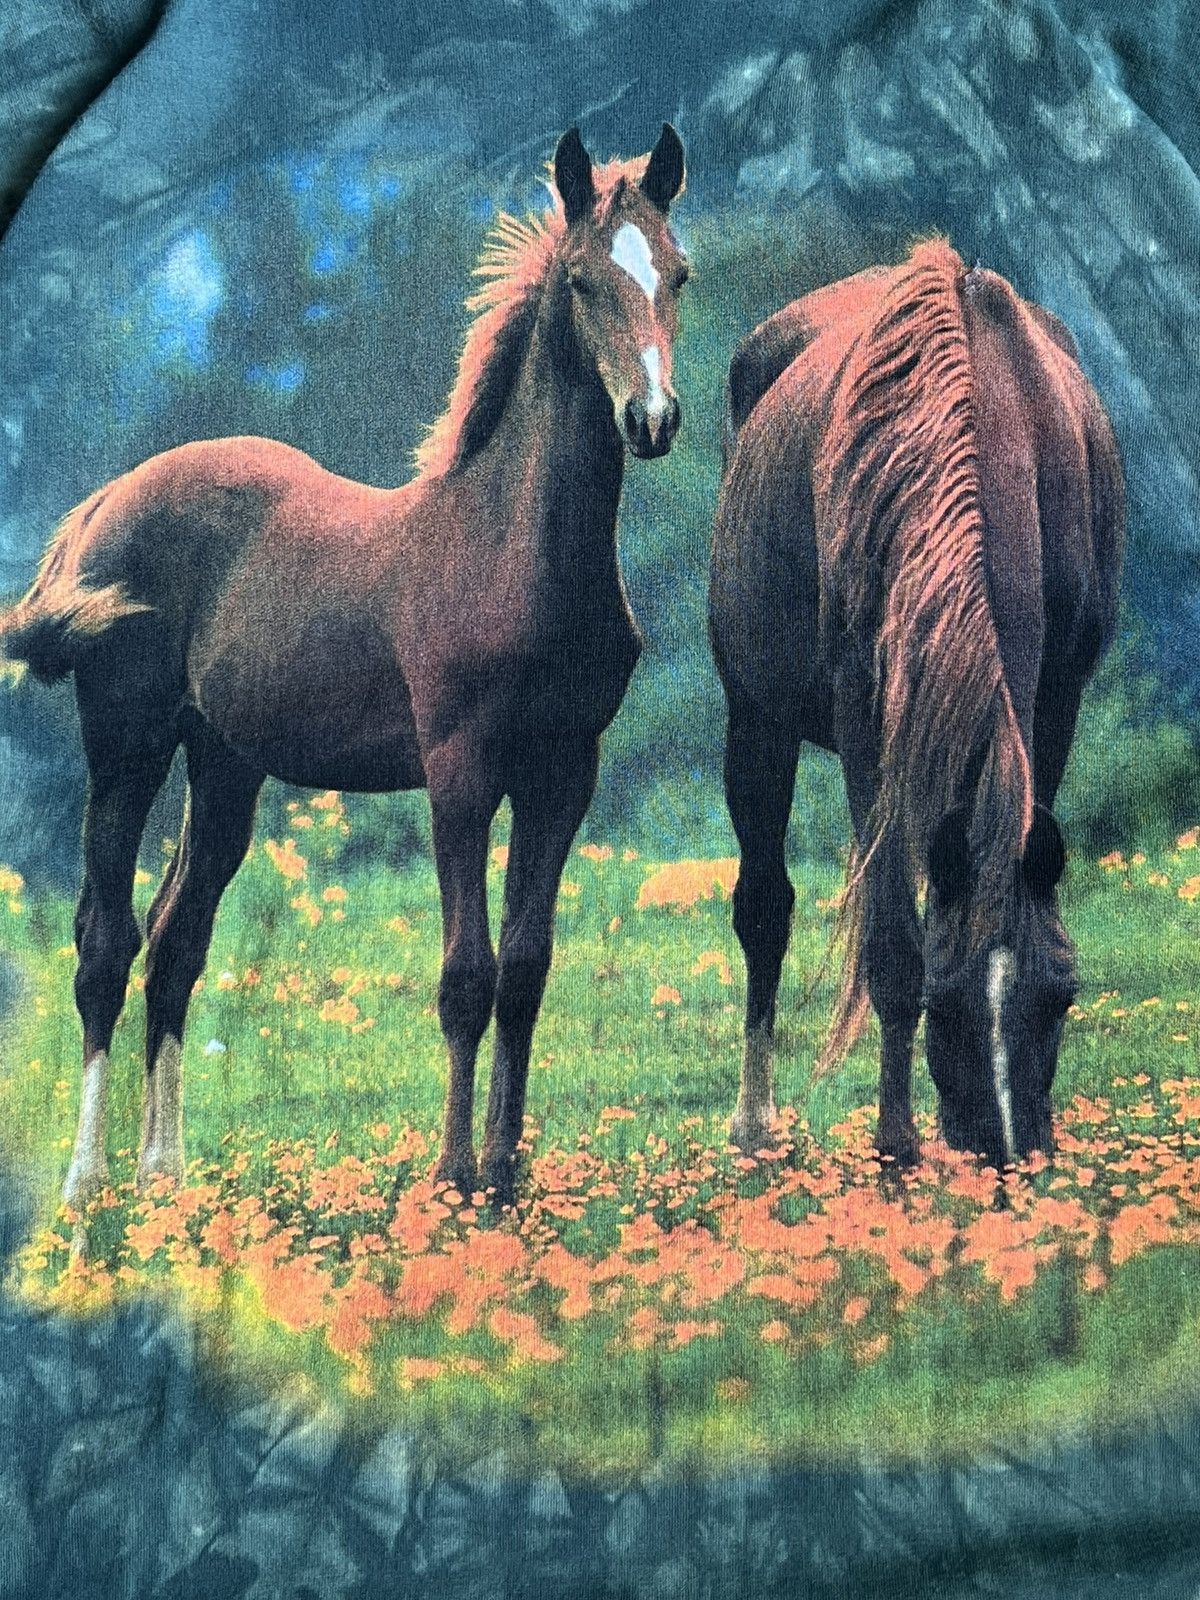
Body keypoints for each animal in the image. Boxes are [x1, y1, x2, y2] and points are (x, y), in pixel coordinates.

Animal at [1, 124, 688, 1208]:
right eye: (582, 281)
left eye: (678, 272)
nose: (652, 420)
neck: (511, 548)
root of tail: (103, 502)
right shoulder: (460, 772)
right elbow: (466, 977)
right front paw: (452, 1181)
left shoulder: (564, 772)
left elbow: (527, 970)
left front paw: (506, 1178)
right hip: (126, 745)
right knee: (104, 945)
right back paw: (86, 1185)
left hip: (225, 766)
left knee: (175, 943)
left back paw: (166, 1175)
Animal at [709, 239, 1125, 1172]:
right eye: (947, 1002)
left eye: (1063, 995)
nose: (1009, 1158)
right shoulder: (866, 725)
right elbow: (893, 944)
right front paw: (896, 1144)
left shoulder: (1056, 702)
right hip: (756, 721)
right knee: (764, 909)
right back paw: (753, 1122)